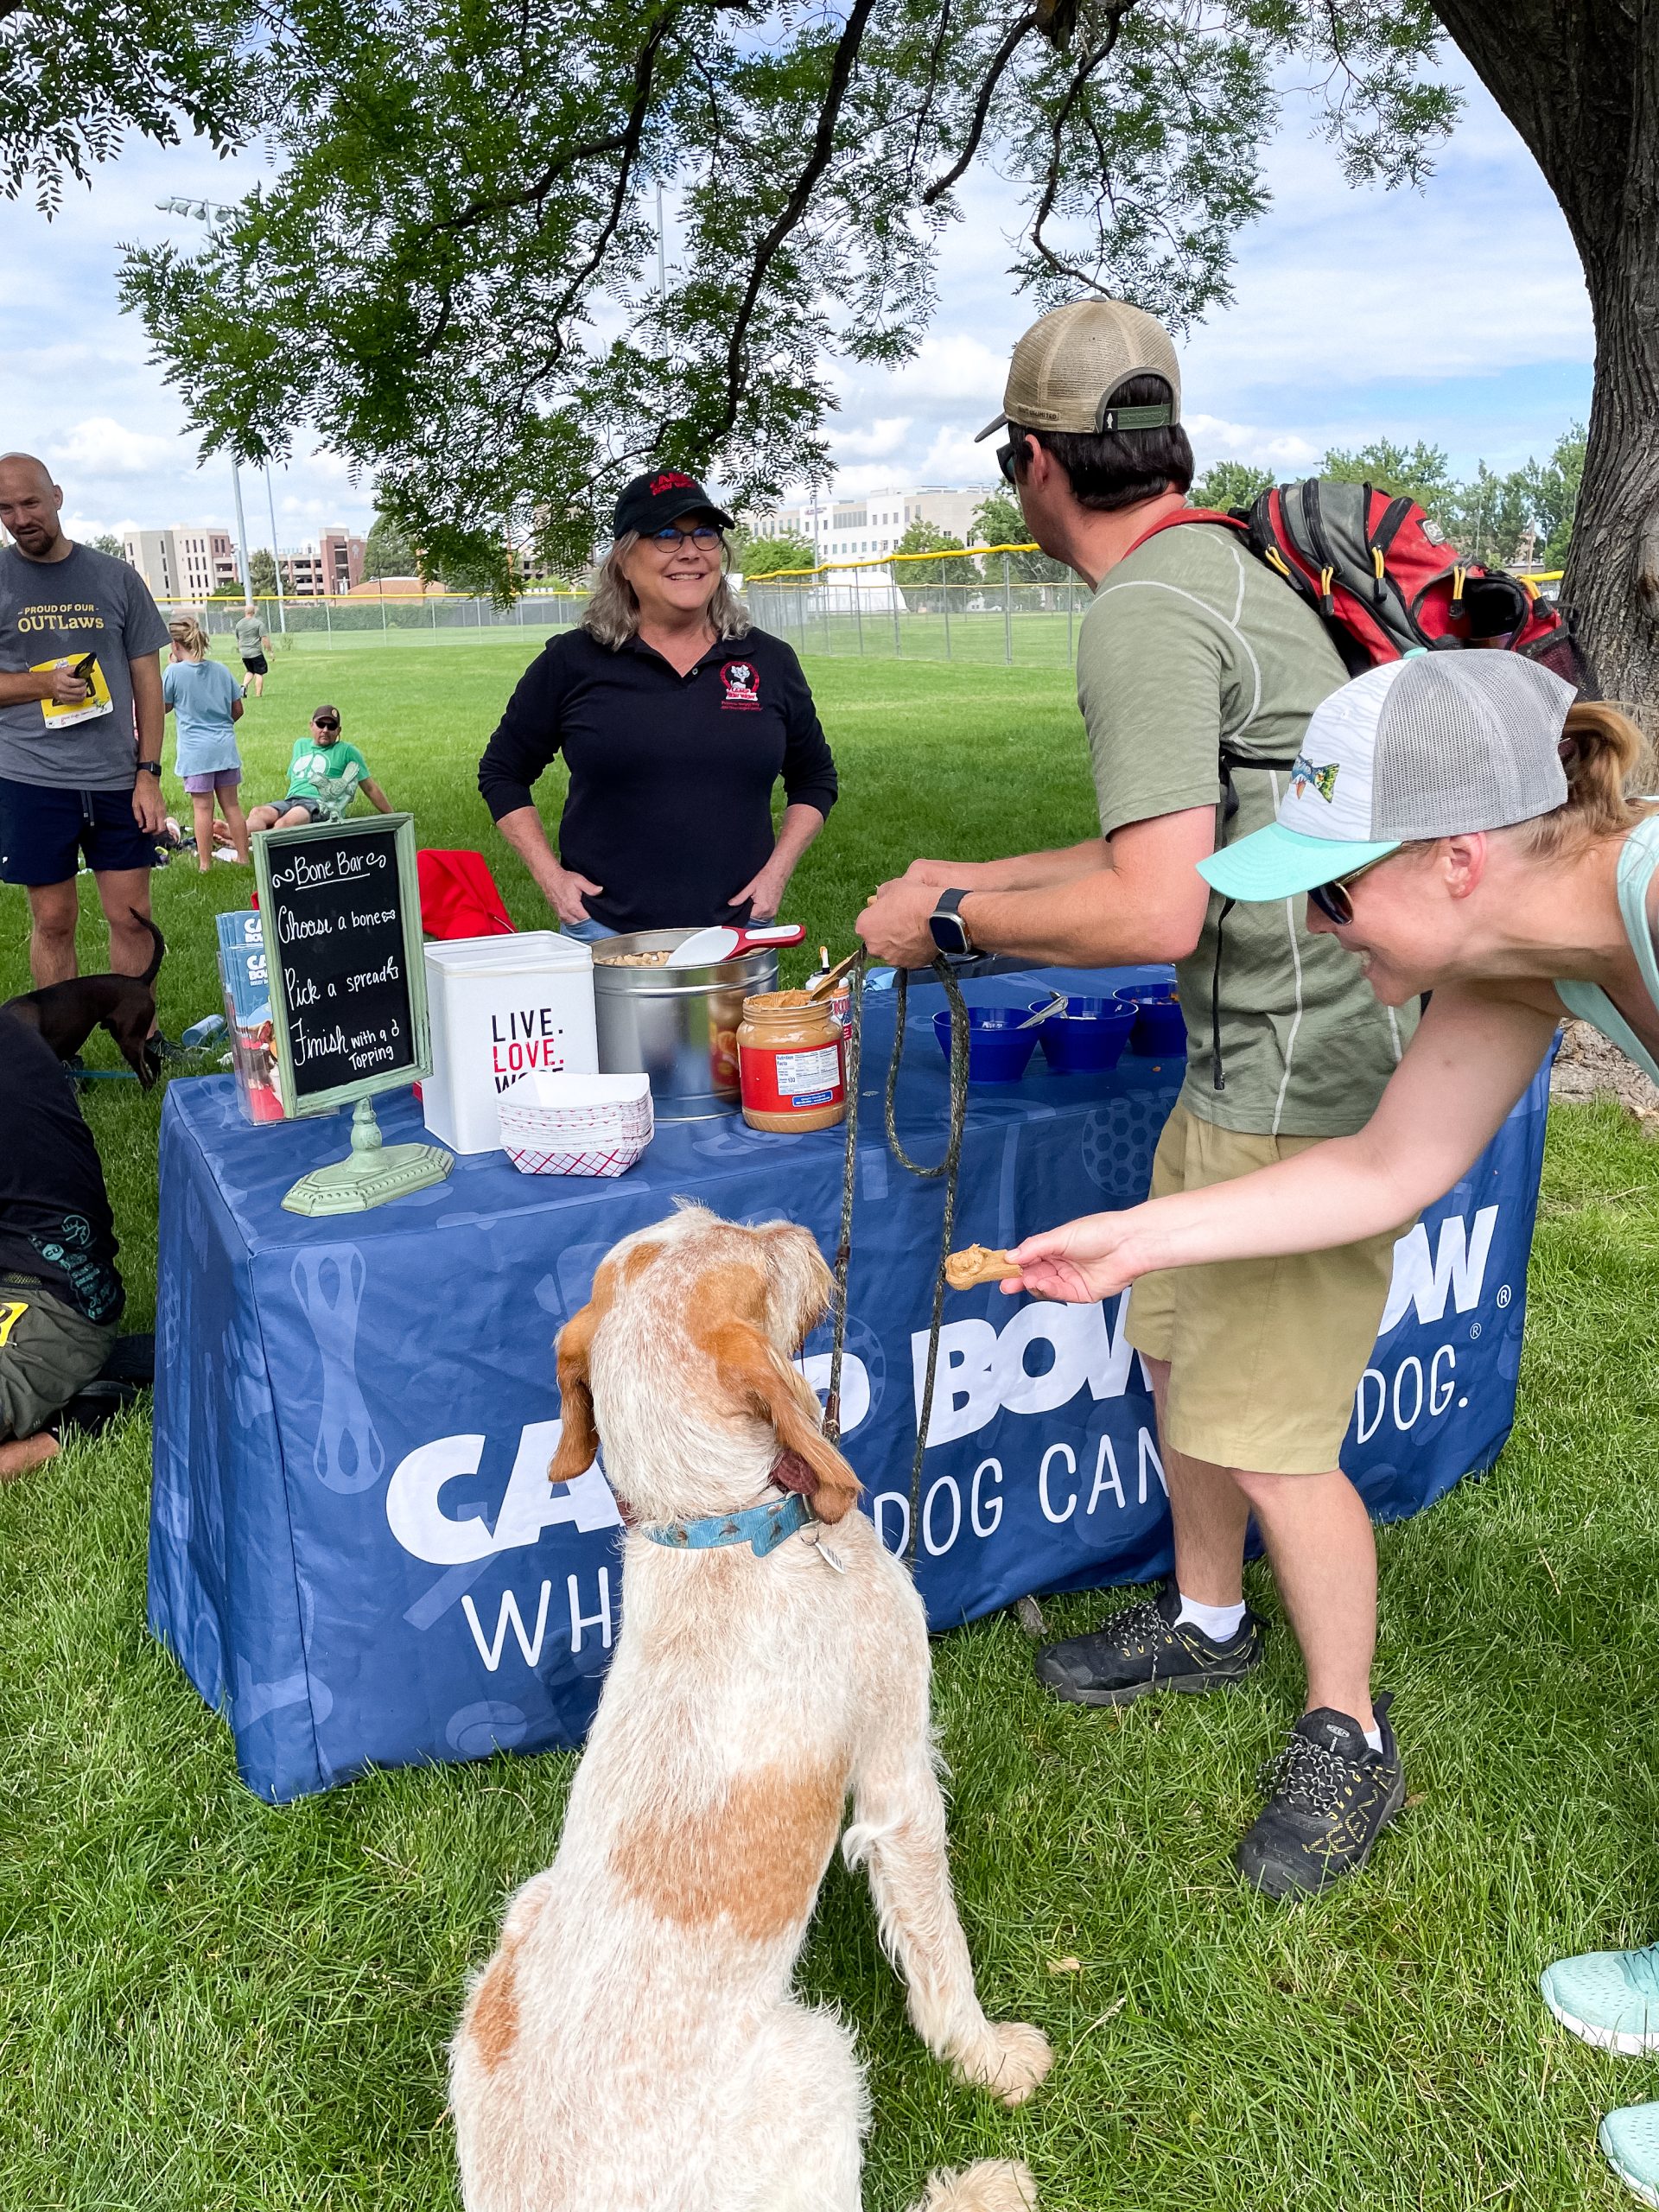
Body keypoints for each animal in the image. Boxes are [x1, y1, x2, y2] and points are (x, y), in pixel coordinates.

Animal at [451, 1211, 1052, 2212]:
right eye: (754, 1259)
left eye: (704, 1222)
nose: (801, 1230)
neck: (718, 1523)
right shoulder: (898, 1779)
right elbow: (940, 1947)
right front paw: (990, 2058)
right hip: (820, 2062)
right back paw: (983, 2188)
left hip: (518, 1924)